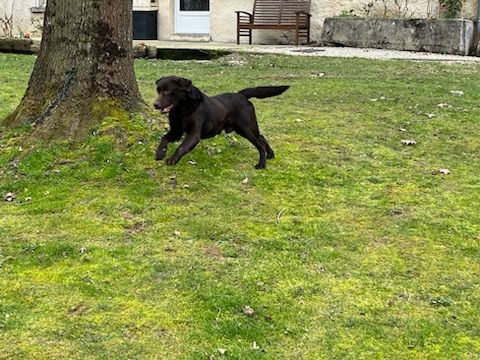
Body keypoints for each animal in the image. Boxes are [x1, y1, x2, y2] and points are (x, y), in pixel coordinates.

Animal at [155, 76, 288, 169]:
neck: (182, 111)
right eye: (158, 91)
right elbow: (164, 138)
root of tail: (241, 95)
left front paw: (172, 159)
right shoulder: (176, 132)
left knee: (260, 144)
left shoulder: (194, 134)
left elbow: (181, 147)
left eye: (167, 91)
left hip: (247, 128)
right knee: (262, 137)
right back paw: (270, 155)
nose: (155, 104)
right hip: (242, 129)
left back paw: (261, 164)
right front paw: (160, 153)